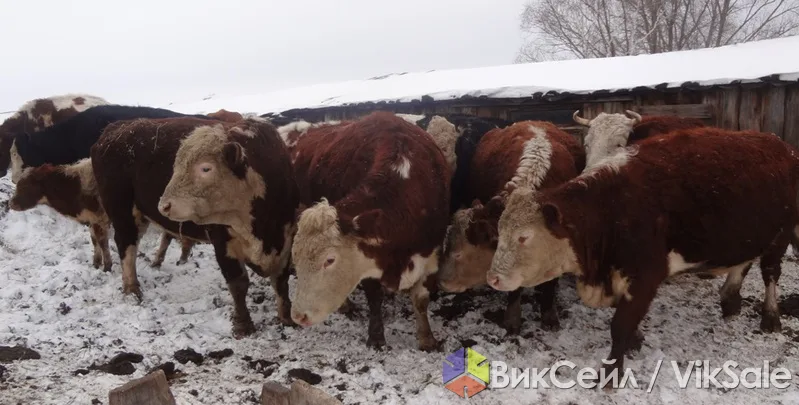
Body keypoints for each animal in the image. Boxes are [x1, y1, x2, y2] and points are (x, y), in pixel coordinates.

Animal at [8, 159, 196, 272]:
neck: (75, 186)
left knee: (170, 236)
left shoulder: (100, 219)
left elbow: (103, 242)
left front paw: (107, 266)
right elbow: (94, 241)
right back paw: (179, 259)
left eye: (27, 185)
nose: (11, 203)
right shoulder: (92, 220)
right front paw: (96, 262)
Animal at [93, 117, 298, 337]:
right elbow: (238, 284)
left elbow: (281, 282)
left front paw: (287, 317)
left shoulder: (286, 238)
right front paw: (243, 325)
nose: (164, 205)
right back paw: (132, 289)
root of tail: (114, 129)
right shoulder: (223, 242)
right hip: (122, 212)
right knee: (126, 246)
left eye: (205, 168)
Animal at [289, 112, 451, 351]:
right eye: (295, 257)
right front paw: (376, 337)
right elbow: (374, 299)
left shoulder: (432, 254)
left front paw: (427, 339)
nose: (298, 316)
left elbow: (421, 300)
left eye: (329, 260)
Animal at [486, 128, 799, 379]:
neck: (610, 208)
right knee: (743, 263)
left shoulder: (646, 274)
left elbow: (620, 324)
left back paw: (770, 317)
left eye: (524, 237)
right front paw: (635, 341)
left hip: (781, 234)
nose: (493, 279)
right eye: (499, 232)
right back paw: (730, 297)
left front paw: (611, 373)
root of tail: (780, 144)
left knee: (770, 273)